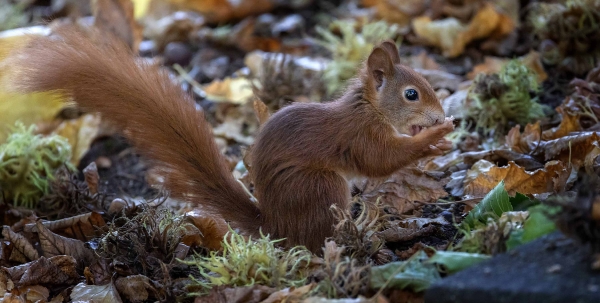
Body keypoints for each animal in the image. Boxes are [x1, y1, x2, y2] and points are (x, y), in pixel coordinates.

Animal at [7, 25, 452, 254]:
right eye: (411, 94)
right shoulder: (358, 136)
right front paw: (436, 136)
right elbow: (380, 161)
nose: (439, 113)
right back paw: (353, 236)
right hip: (321, 186)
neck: (370, 108)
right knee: (313, 241)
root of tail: (274, 227)